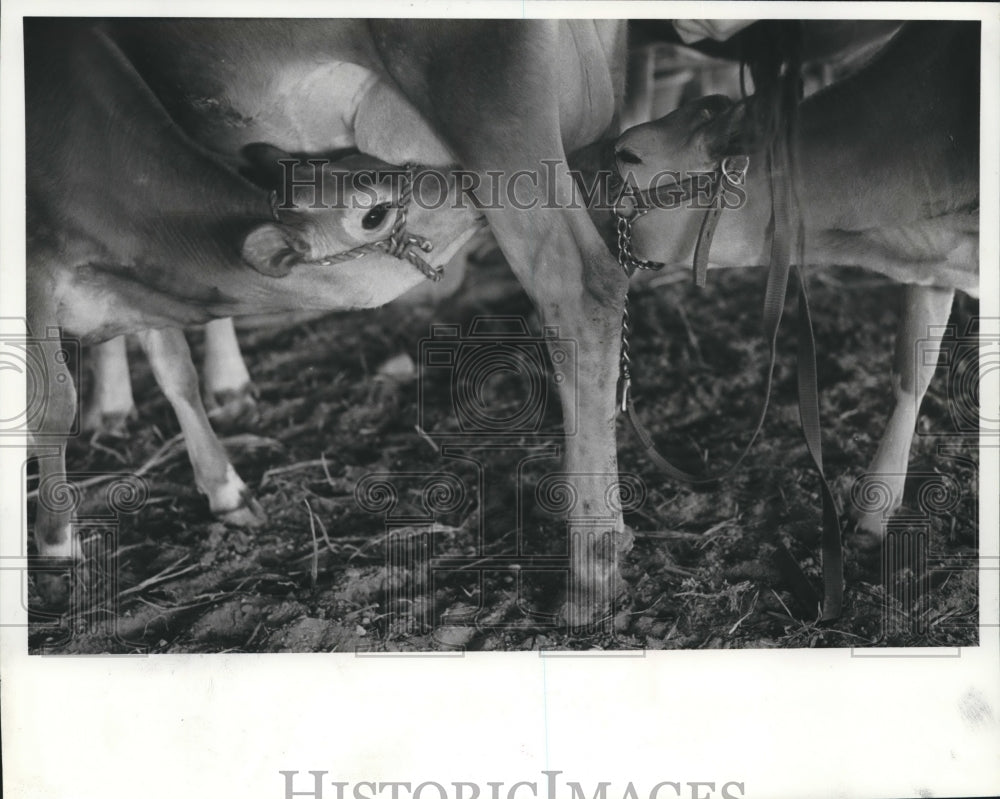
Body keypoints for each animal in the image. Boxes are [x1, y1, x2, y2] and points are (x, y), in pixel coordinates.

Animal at [26, 20, 484, 608]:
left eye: (380, 163)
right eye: (374, 214)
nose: (469, 181)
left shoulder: (140, 277)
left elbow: (177, 373)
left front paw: (227, 488)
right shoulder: (34, 279)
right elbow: (53, 406)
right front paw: (57, 547)